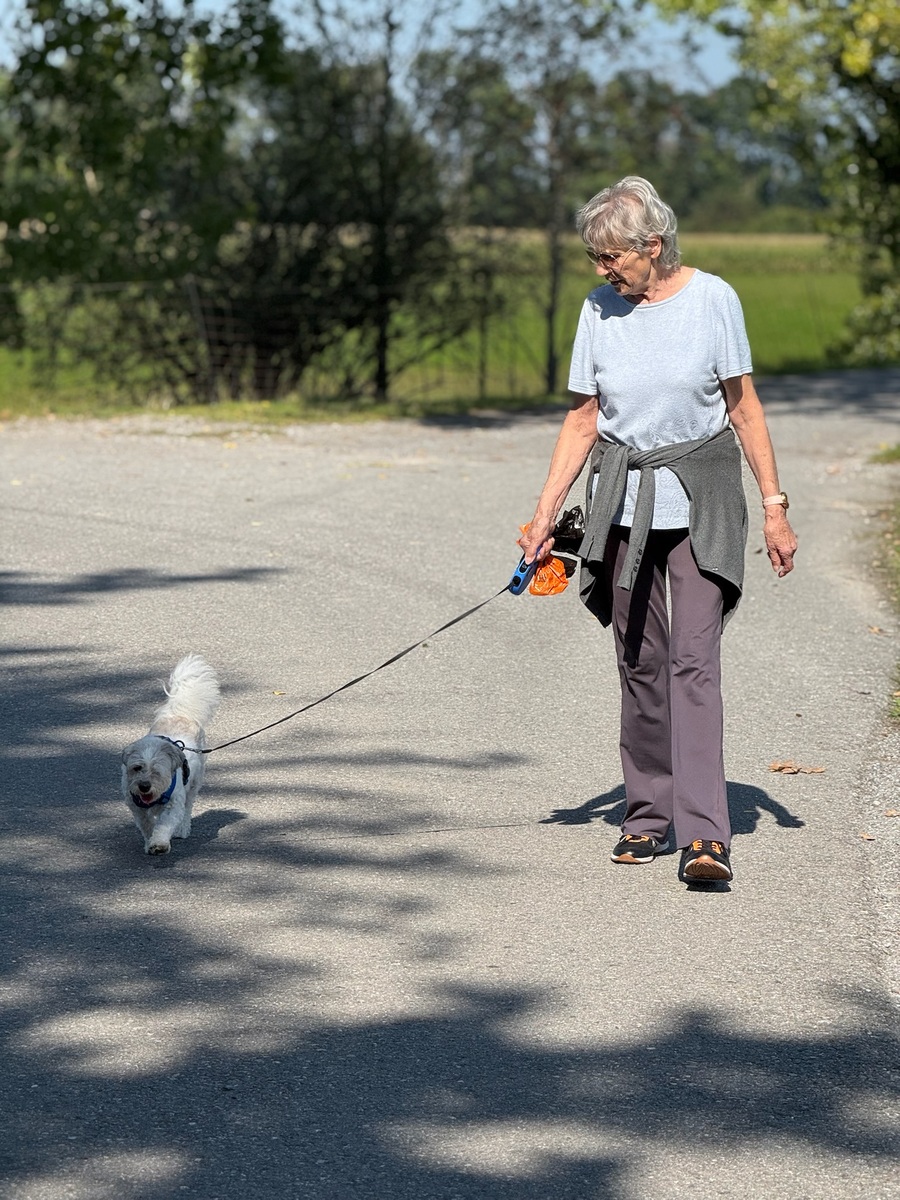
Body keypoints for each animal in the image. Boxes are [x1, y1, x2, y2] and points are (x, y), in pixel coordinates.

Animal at [120, 655, 221, 854]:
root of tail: (180, 713)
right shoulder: (137, 808)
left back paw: (182, 829)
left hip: (194, 783)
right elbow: (147, 825)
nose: (144, 786)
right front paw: (149, 842)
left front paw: (159, 844)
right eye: (137, 768)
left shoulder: (173, 805)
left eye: (157, 771)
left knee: (188, 807)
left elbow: (164, 825)